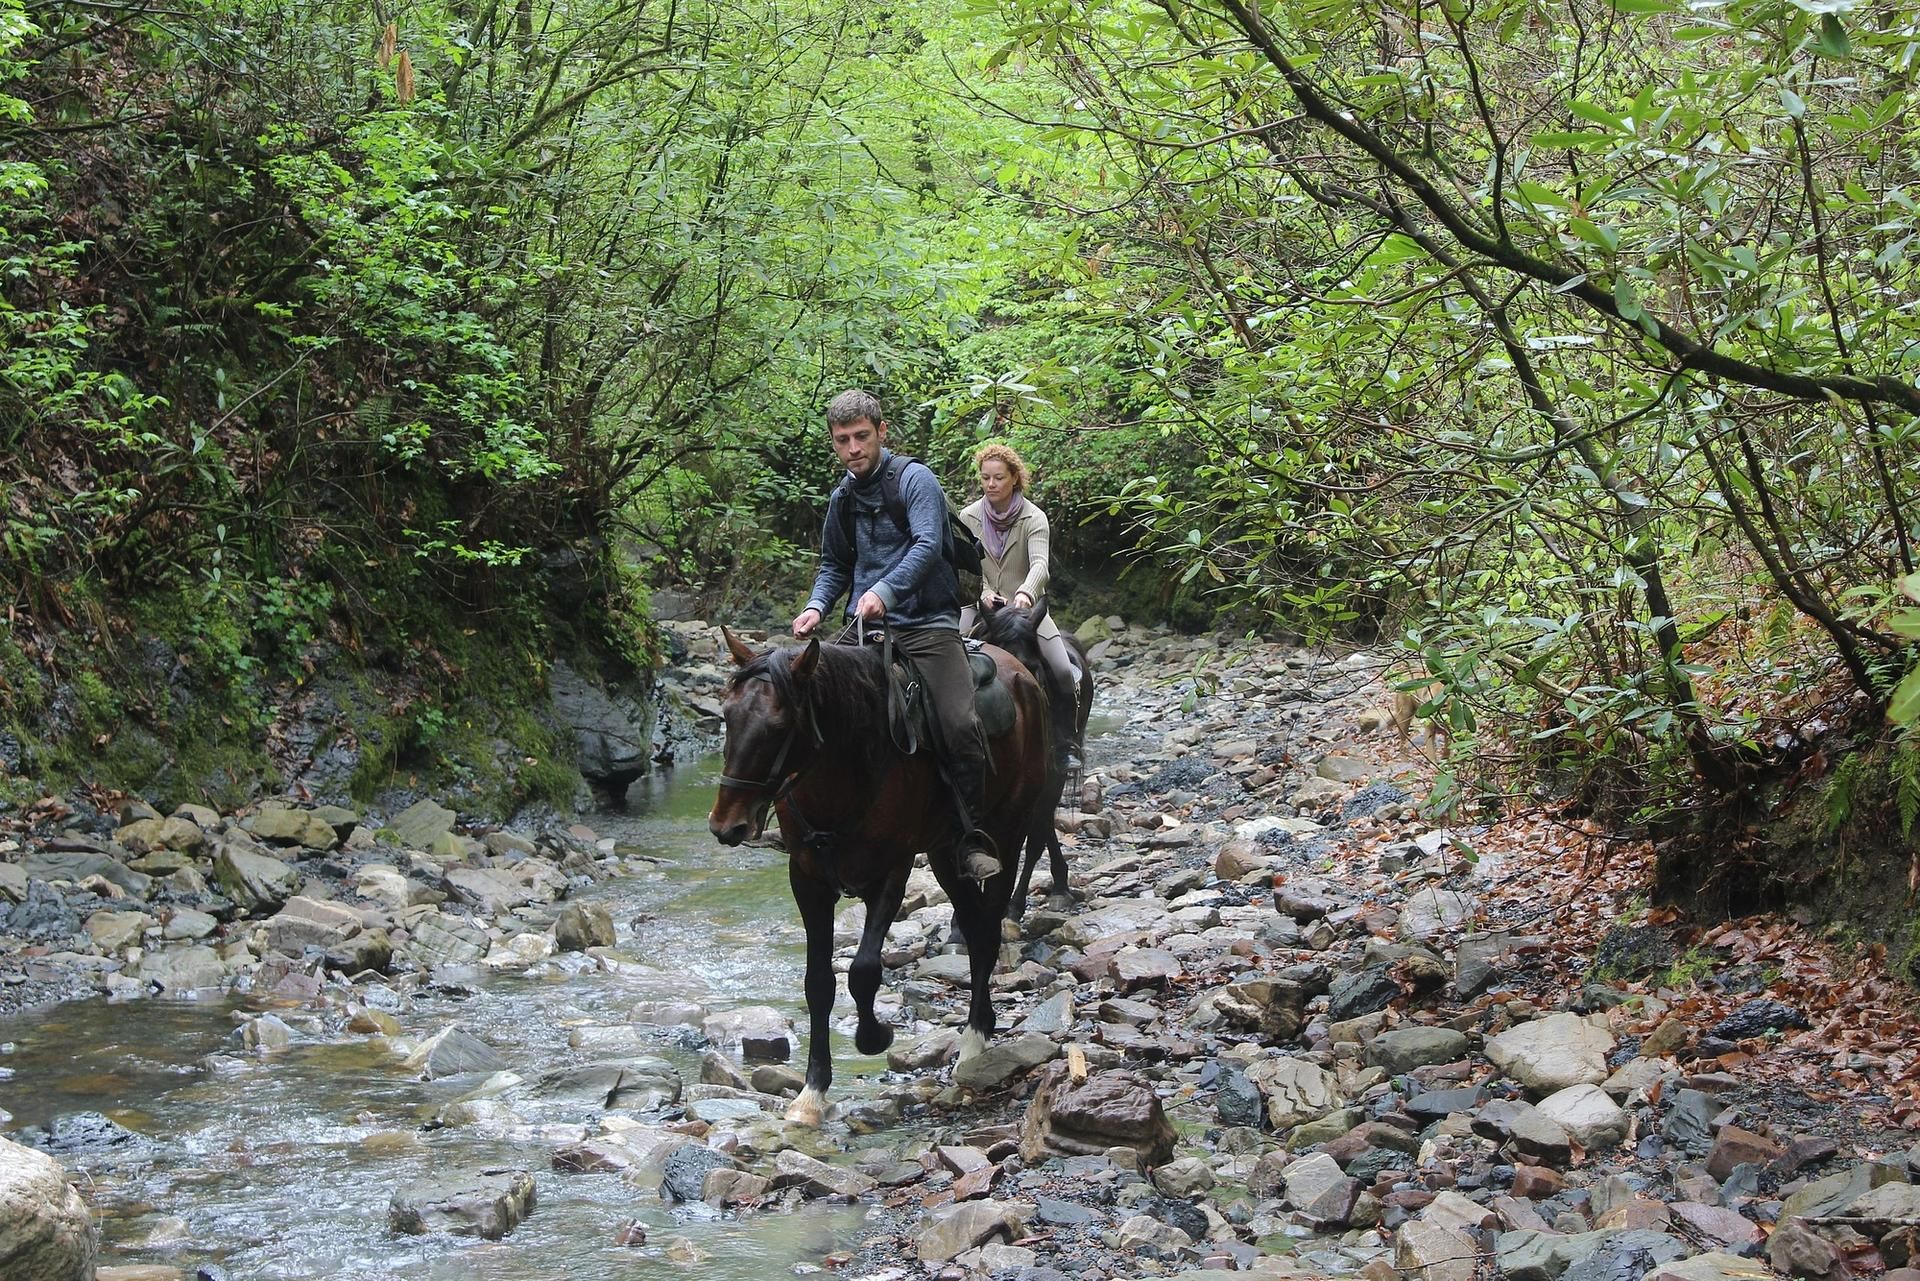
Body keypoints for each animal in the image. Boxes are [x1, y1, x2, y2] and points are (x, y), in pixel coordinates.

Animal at [706, 629, 1052, 1121]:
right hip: (945, 854)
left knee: (987, 929)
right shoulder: (807, 880)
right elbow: (819, 983)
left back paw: (973, 1044)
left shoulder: (892, 871)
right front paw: (812, 1092)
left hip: (1008, 830)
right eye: (728, 716)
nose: (726, 825)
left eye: (779, 726)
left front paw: (875, 1037)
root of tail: (1022, 674)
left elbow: (864, 971)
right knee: (972, 926)